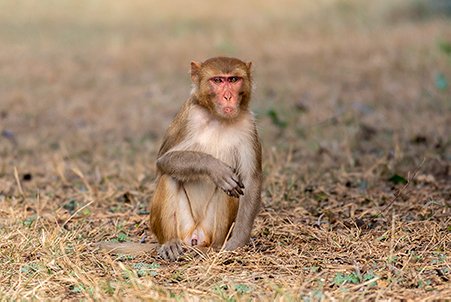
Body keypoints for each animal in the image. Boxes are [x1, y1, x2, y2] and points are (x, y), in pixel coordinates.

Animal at [97, 57, 264, 260]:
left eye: (233, 79)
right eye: (217, 80)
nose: (228, 97)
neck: (218, 118)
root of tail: (194, 237)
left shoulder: (248, 124)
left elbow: (250, 179)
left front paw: (236, 243)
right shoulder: (188, 117)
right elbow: (164, 161)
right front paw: (215, 168)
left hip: (209, 230)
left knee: (228, 191)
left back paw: (215, 248)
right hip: (182, 228)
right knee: (169, 177)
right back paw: (170, 244)